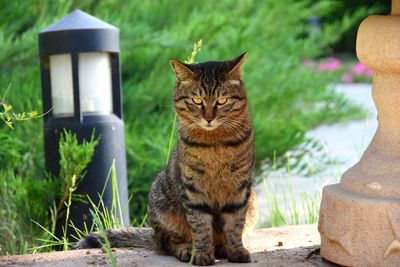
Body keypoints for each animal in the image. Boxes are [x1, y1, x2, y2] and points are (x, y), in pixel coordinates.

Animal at [74, 53, 256, 266]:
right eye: (197, 100)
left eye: (222, 100)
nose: (209, 118)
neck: (215, 143)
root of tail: (153, 235)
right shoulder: (194, 190)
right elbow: (200, 226)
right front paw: (202, 253)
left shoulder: (240, 188)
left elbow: (235, 224)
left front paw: (236, 250)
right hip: (162, 205)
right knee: (168, 243)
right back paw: (188, 250)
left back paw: (222, 248)